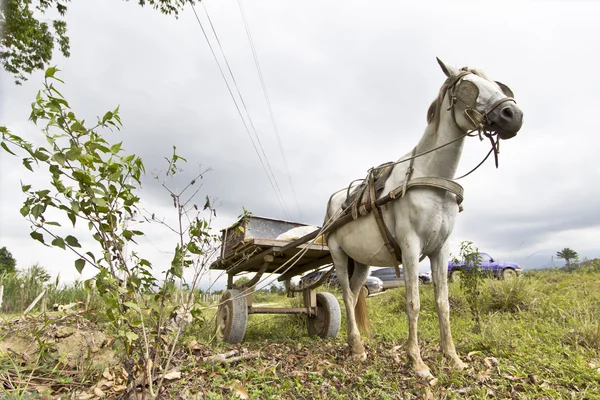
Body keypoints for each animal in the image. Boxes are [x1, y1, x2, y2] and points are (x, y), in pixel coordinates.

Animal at [326, 57, 524, 376]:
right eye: (469, 87)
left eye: (498, 85)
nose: (514, 115)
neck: (429, 177)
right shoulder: (410, 246)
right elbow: (414, 302)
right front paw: (416, 361)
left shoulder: (441, 249)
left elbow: (442, 303)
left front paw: (452, 357)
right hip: (338, 254)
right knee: (345, 294)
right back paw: (356, 349)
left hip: (363, 262)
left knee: (355, 295)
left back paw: (354, 343)